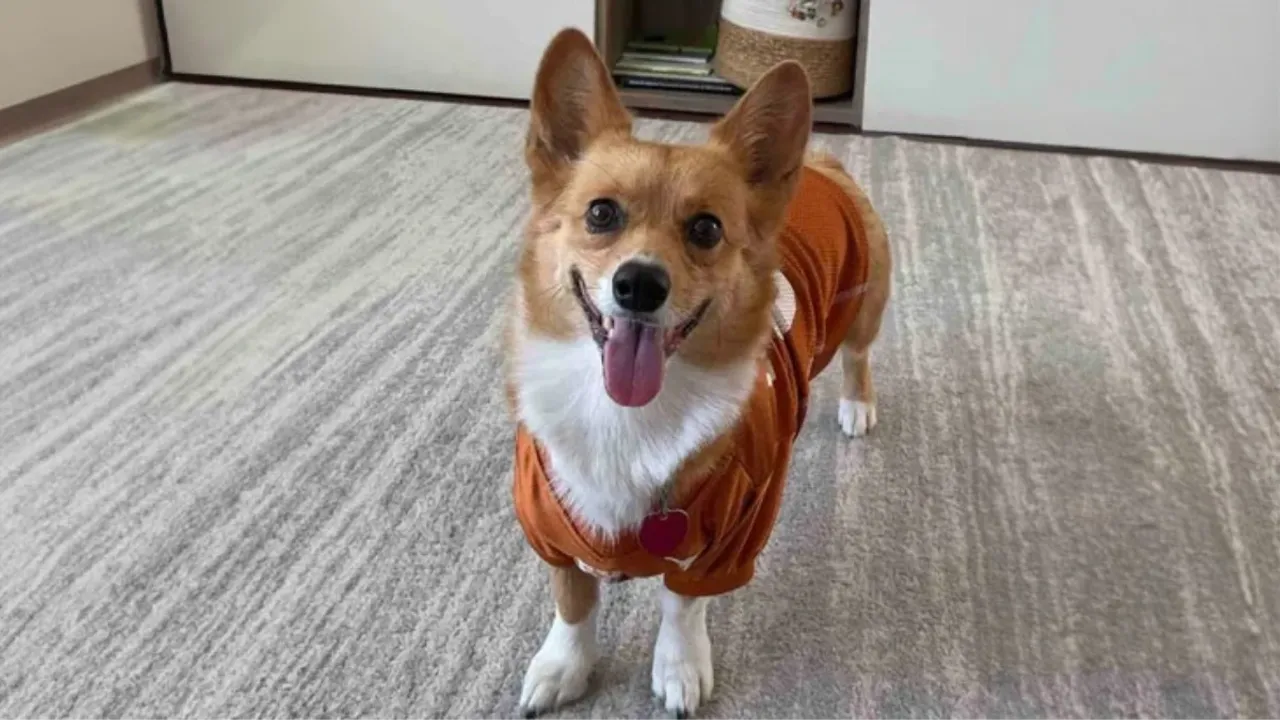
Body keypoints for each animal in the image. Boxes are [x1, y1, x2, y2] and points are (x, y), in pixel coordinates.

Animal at [505, 28, 892, 717]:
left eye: (706, 228)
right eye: (601, 214)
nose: (639, 284)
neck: (625, 414)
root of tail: (823, 165)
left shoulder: (725, 541)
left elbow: (681, 605)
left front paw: (679, 669)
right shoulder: (549, 525)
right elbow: (573, 602)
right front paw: (563, 666)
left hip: (864, 303)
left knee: (858, 355)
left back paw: (857, 405)